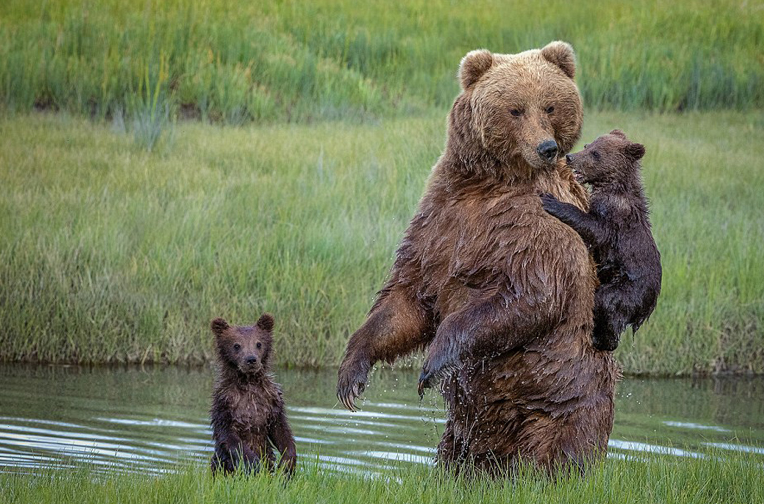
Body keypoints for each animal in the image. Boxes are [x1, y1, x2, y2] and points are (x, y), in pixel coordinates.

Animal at [210, 316, 296, 476]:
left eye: (258, 343)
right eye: (236, 345)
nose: (251, 359)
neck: (249, 382)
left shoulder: (272, 402)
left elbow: (281, 431)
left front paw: (287, 463)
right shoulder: (225, 404)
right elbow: (230, 437)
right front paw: (254, 463)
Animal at [338, 42, 616, 472]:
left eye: (550, 106)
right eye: (515, 109)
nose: (546, 148)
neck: (490, 182)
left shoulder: (538, 226)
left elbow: (531, 296)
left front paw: (433, 362)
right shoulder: (441, 220)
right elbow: (407, 298)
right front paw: (351, 375)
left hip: (561, 399)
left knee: (560, 448)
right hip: (465, 432)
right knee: (458, 452)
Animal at [540, 130, 660, 350]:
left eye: (596, 154)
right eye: (587, 145)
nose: (570, 157)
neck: (612, 186)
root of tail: (648, 309)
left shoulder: (615, 216)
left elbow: (595, 229)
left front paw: (551, 200)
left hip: (630, 288)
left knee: (608, 302)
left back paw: (601, 340)